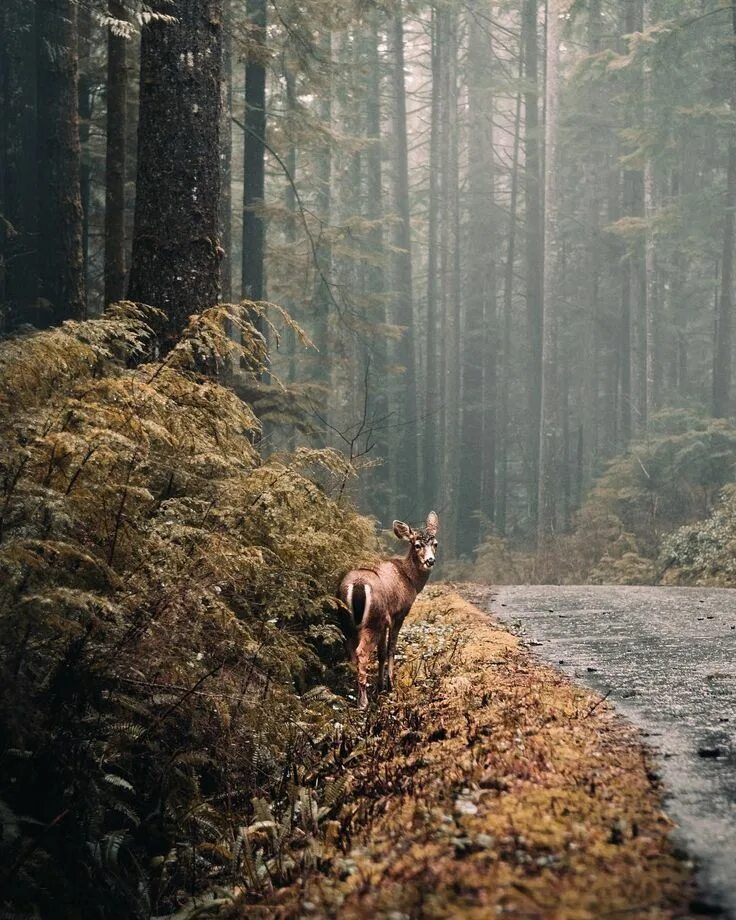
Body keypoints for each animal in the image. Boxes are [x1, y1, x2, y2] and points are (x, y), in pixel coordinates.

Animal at [338, 512, 436, 708]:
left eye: (435, 544)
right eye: (417, 545)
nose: (430, 560)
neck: (410, 579)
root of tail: (357, 585)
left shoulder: (385, 620)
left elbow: (382, 653)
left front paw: (380, 685)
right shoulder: (399, 613)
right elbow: (391, 648)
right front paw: (390, 683)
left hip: (347, 621)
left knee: (351, 652)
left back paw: (355, 690)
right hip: (372, 622)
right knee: (362, 653)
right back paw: (363, 701)